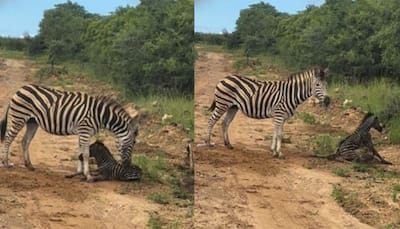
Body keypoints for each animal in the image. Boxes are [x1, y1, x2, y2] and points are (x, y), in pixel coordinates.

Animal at [0, 83, 138, 182]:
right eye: (133, 143)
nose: (128, 165)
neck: (100, 115)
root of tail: (20, 88)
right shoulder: (85, 131)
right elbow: (86, 154)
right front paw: (88, 176)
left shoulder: (83, 133)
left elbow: (80, 153)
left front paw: (80, 173)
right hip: (19, 117)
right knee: (8, 138)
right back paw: (6, 163)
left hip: (32, 122)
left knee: (25, 141)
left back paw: (29, 165)